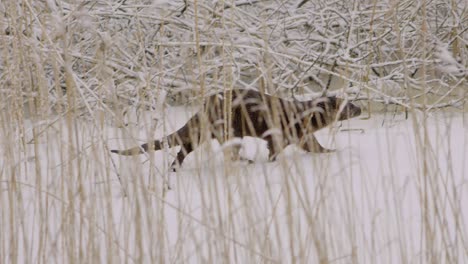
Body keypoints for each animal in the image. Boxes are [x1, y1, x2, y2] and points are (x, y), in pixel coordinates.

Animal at [111, 89, 360, 169]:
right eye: (349, 106)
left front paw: (331, 151)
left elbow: (314, 146)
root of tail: (204, 108)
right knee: (229, 152)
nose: (359, 108)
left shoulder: (302, 134)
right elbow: (276, 148)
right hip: (229, 130)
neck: (302, 114)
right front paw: (271, 161)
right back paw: (247, 160)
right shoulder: (286, 132)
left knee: (184, 150)